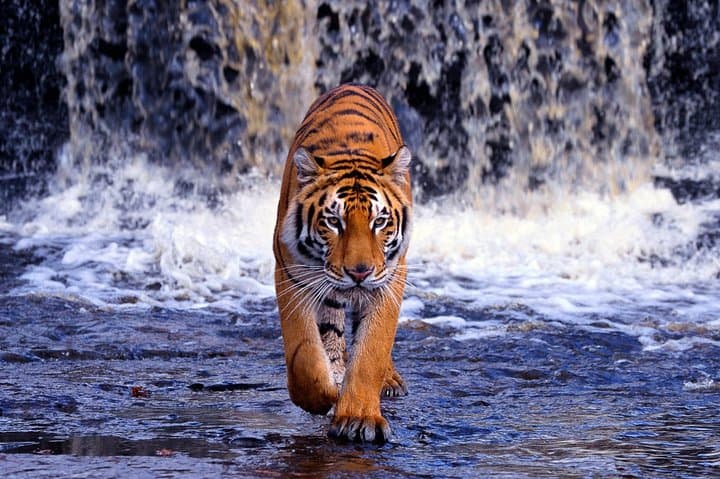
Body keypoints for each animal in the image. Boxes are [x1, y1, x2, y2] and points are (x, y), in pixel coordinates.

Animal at [273, 84, 413, 443]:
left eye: (380, 221)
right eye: (334, 222)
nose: (359, 272)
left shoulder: (389, 279)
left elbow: (372, 350)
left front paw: (358, 417)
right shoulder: (292, 274)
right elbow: (304, 353)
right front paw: (323, 396)